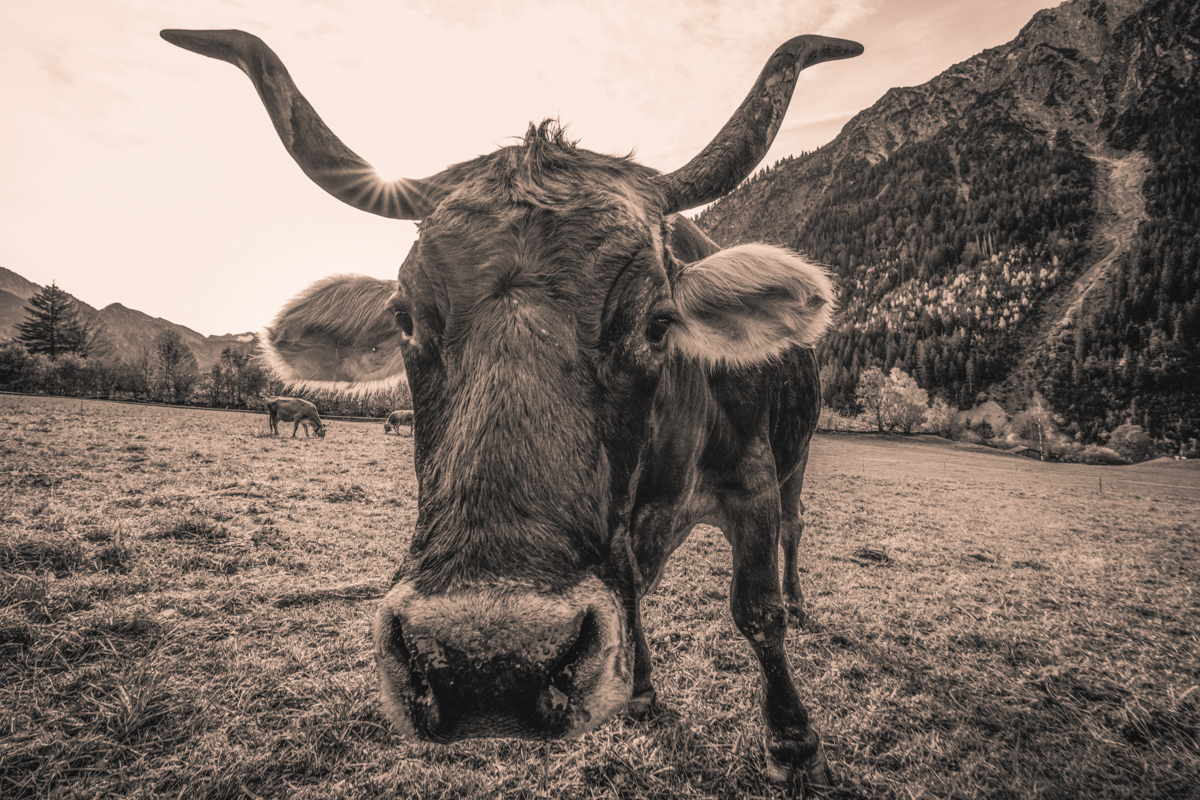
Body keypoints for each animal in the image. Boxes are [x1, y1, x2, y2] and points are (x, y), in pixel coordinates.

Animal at [162, 28, 862, 790]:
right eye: (405, 319)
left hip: (796, 459)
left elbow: (758, 612)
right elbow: (631, 597)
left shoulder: (752, 482)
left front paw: (793, 743)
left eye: (656, 322)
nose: (486, 664)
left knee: (794, 533)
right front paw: (641, 693)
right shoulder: (621, 531)